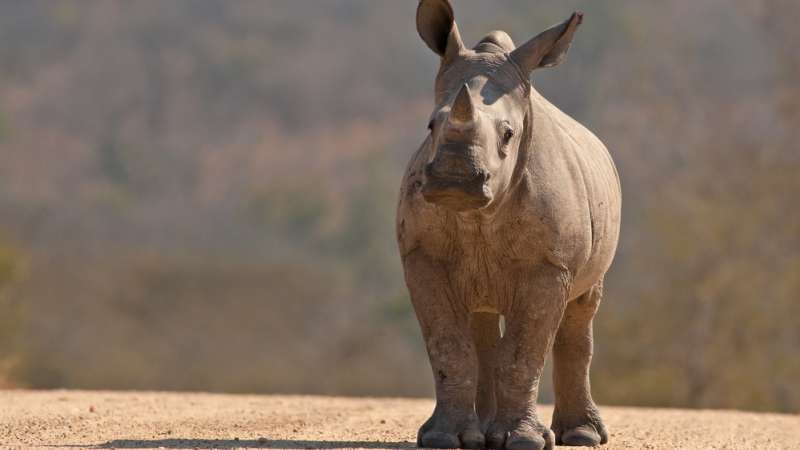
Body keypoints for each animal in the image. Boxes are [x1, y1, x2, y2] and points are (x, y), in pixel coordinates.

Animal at [396, 1, 622, 449]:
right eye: (431, 126)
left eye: (508, 134)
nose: (456, 181)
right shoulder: (422, 256)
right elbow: (449, 347)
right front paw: (443, 438)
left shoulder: (550, 265)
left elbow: (523, 352)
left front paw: (524, 441)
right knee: (481, 320)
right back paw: (480, 433)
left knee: (581, 312)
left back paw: (582, 435)